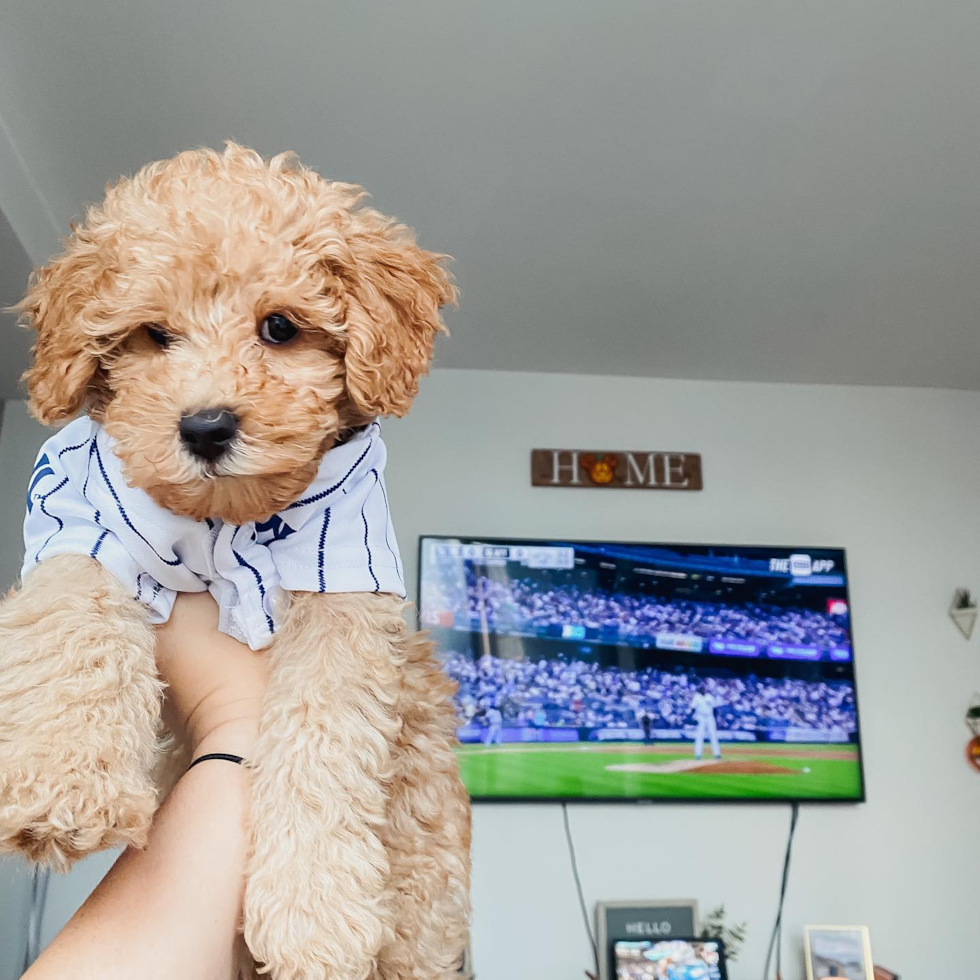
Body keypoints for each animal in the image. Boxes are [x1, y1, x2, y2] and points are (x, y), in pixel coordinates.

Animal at [0, 144, 470, 980]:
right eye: (153, 335)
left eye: (280, 327)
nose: (206, 426)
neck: (227, 516)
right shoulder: (80, 515)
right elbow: (70, 621)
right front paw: (62, 786)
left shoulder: (344, 573)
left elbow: (323, 730)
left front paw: (313, 912)